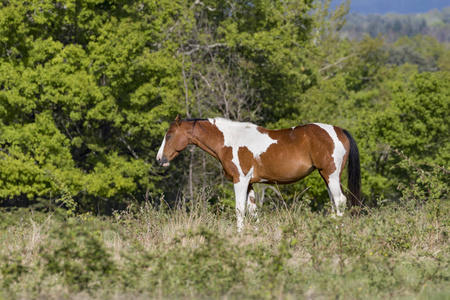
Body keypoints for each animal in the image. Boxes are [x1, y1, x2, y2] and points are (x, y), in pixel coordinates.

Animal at [156, 115, 360, 232]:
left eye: (169, 135)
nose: (159, 159)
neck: (231, 140)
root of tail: (339, 131)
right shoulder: (250, 184)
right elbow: (253, 211)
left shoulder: (240, 181)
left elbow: (240, 209)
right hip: (328, 177)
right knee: (334, 203)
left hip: (331, 175)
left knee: (340, 201)